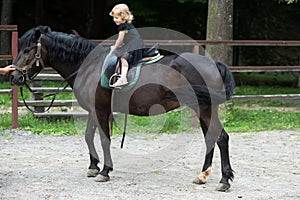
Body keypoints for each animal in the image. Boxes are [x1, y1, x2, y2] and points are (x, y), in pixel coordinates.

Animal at [9, 25, 236, 191]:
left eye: (27, 50)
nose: (14, 76)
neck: (89, 67)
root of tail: (213, 64)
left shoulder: (101, 110)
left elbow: (104, 139)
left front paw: (104, 171)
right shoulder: (94, 110)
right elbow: (89, 136)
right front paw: (93, 167)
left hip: (205, 108)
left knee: (221, 138)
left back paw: (224, 181)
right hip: (204, 109)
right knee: (211, 138)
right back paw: (203, 175)